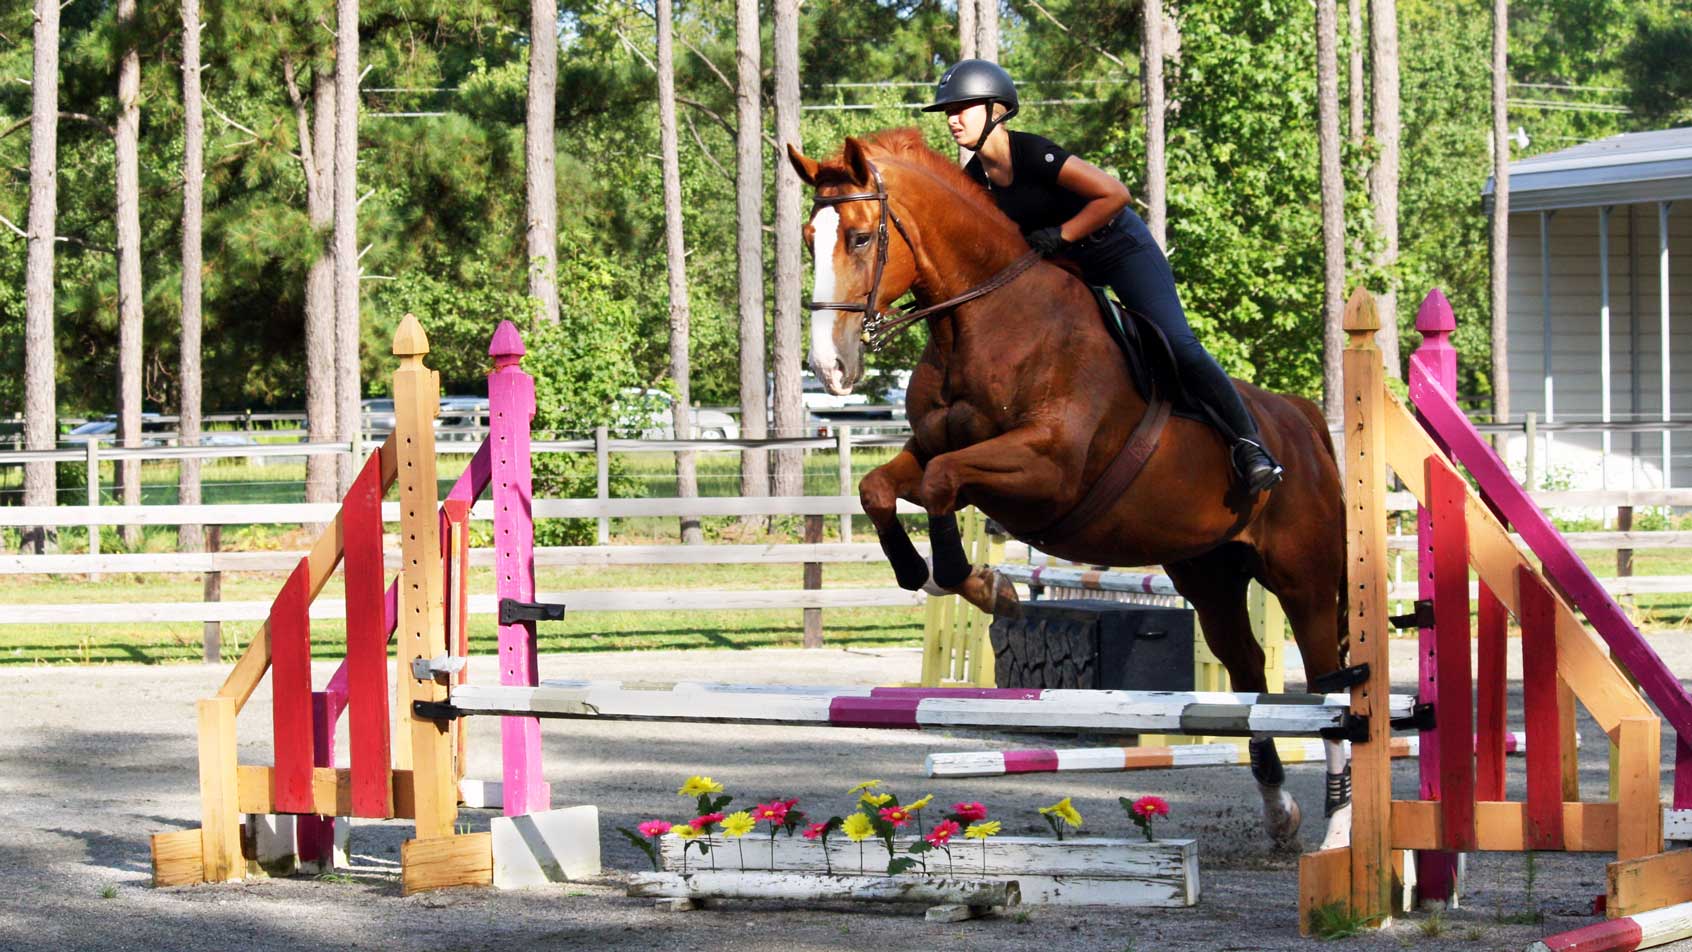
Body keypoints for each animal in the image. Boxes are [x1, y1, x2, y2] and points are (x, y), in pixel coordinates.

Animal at [785, 130, 1353, 852]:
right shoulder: (939, 454)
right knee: (1248, 667)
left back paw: (1339, 828)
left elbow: (941, 485)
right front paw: (935, 575)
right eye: (809, 236)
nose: (830, 367)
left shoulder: (1046, 469)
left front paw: (979, 583)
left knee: (1329, 684)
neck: (985, 317)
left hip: (1303, 575)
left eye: (859, 237)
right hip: (1210, 571)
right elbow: (879, 487)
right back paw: (1281, 810)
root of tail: (1305, 422)